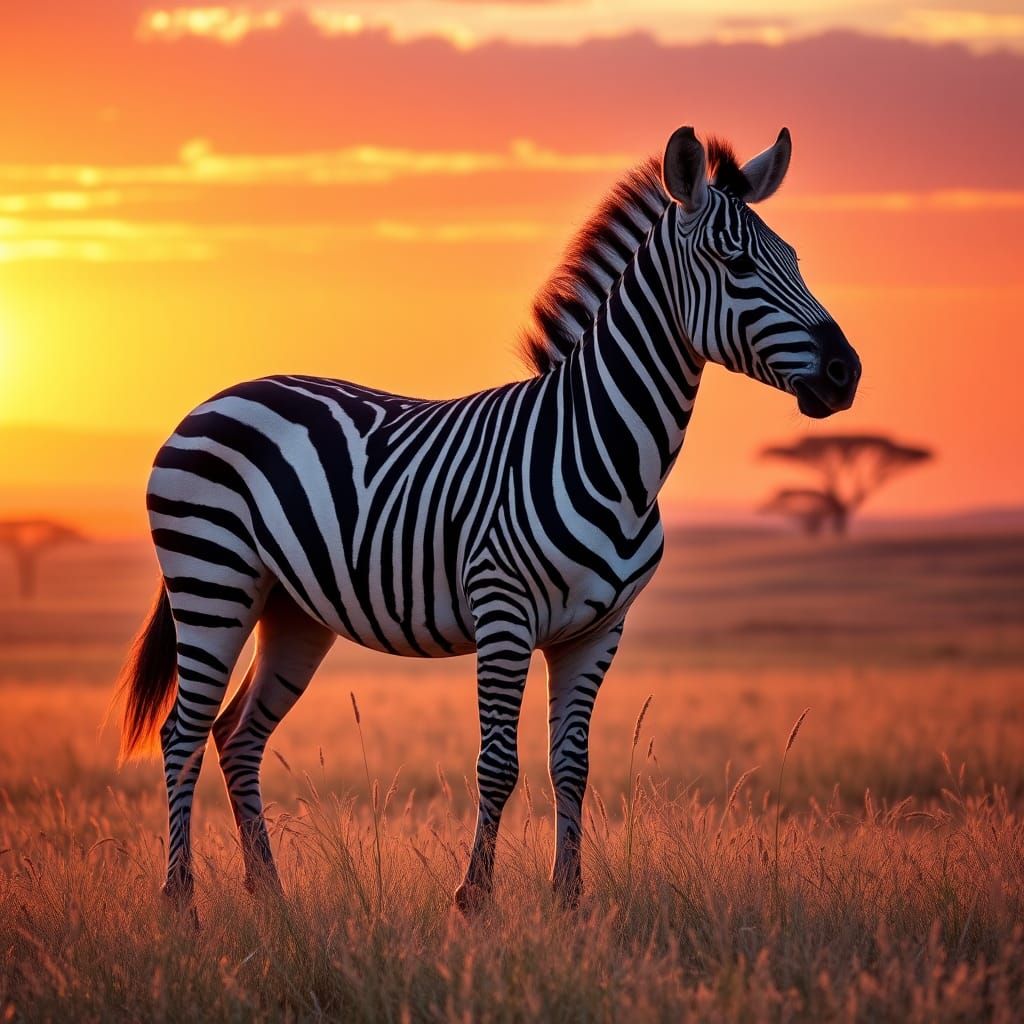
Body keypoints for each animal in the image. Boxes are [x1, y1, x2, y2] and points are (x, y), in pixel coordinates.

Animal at [117, 125, 860, 914]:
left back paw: (271, 900)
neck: (600, 448)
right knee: (182, 733)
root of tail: (218, 397)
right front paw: (473, 898)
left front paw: (569, 900)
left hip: (290, 609)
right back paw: (181, 903)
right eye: (736, 262)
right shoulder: (503, 611)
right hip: (212, 580)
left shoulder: (598, 630)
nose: (846, 372)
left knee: (237, 735)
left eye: (792, 259)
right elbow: (498, 763)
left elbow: (572, 764)